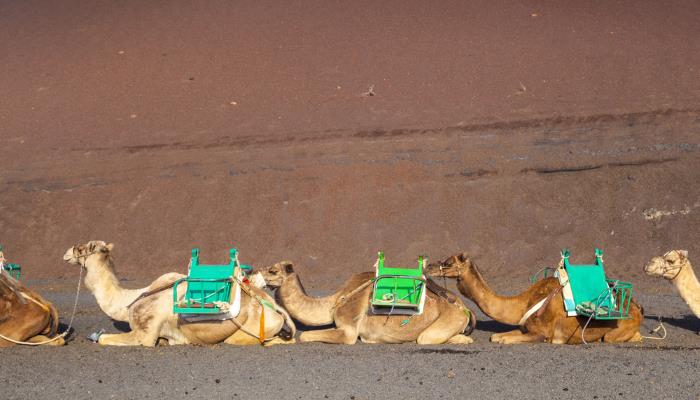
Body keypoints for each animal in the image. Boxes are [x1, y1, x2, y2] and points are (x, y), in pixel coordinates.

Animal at [61, 241, 296, 346]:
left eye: (83, 248)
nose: (66, 253)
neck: (129, 300)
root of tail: (277, 310)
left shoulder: (145, 332)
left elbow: (103, 339)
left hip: (251, 330)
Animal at [258, 260, 476, 346]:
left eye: (273, 271)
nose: (254, 272)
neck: (335, 301)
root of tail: (465, 309)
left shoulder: (348, 329)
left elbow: (305, 336)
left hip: (448, 320)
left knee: (426, 338)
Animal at [424, 253, 644, 344]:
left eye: (448, 262)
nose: (428, 266)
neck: (523, 304)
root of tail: (637, 308)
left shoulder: (543, 333)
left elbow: (503, 339)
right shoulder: (525, 327)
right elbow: (496, 336)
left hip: (616, 330)